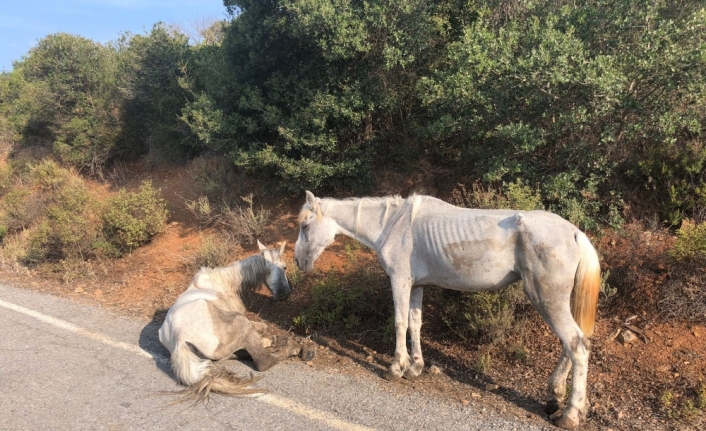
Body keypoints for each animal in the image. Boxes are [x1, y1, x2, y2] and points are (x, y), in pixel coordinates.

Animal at [158, 241, 298, 404]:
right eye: (285, 267)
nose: (286, 294)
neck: (225, 282)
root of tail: (179, 340)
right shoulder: (241, 316)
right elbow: (262, 327)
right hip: (240, 323)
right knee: (263, 361)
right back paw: (294, 348)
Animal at [294, 192, 596, 431]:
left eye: (305, 225)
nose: (297, 261)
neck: (394, 224)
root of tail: (574, 231)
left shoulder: (400, 281)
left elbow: (399, 322)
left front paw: (395, 367)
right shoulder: (417, 285)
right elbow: (415, 323)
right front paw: (415, 366)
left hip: (546, 299)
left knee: (576, 345)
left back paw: (570, 414)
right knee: (572, 344)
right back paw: (556, 398)